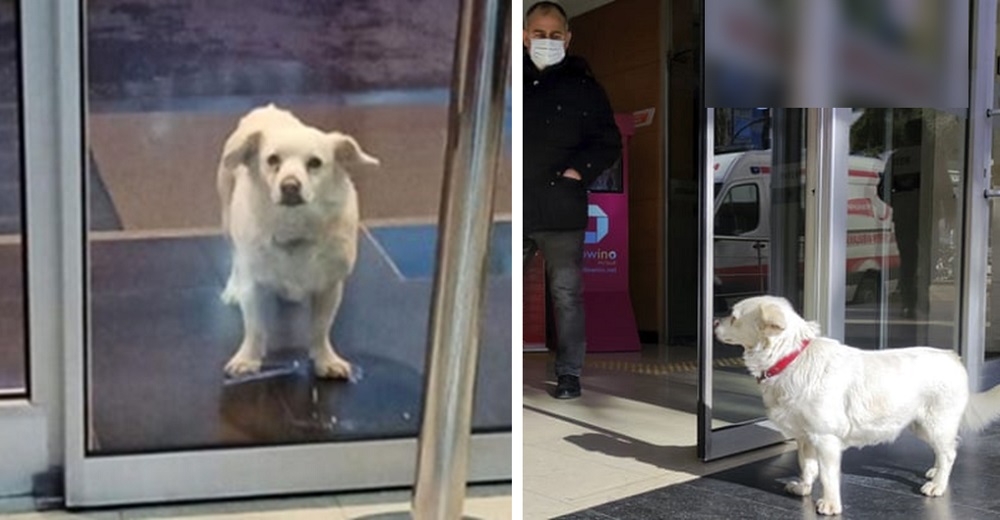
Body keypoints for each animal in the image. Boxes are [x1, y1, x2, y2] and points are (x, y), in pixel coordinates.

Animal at [217, 103, 376, 380]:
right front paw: (248, 359)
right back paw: (232, 288)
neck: (294, 226)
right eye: (272, 160)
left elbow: (321, 328)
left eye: (315, 163)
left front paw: (325, 359)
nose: (290, 185)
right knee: (235, 256)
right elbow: (255, 327)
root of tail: (267, 109)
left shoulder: (330, 287)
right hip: (228, 218)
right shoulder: (254, 286)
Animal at [716, 296, 1000, 516]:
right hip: (920, 426)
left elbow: (828, 476)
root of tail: (953, 357)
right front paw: (803, 488)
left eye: (733, 316)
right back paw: (934, 472)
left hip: (936, 423)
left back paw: (938, 485)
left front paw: (830, 505)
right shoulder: (805, 438)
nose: (714, 322)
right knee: (943, 452)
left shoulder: (826, 439)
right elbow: (807, 466)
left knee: (950, 453)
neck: (791, 357)